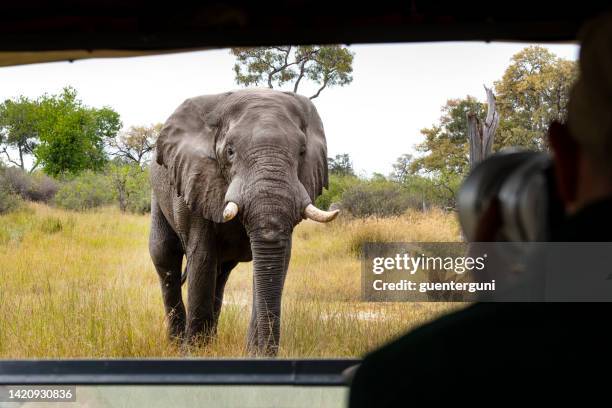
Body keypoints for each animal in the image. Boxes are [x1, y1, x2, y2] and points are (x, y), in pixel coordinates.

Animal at [148, 87, 340, 356]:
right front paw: (195, 352)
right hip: (158, 194)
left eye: (302, 152)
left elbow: (277, 261)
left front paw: (252, 353)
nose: (268, 354)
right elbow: (202, 257)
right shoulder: (196, 179)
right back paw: (177, 344)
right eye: (230, 151)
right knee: (165, 256)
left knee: (221, 273)